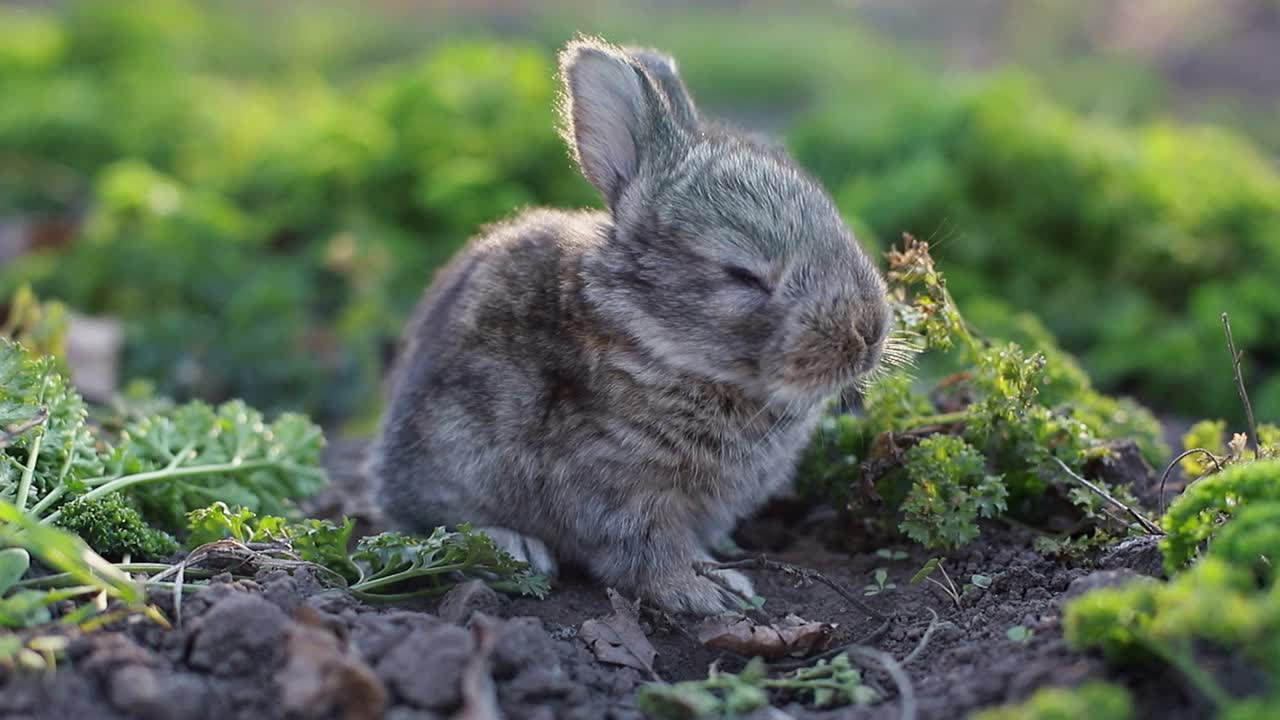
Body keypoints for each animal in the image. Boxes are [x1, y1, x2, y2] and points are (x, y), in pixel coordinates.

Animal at [366, 36, 896, 609]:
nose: (868, 333)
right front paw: (710, 590)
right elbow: (647, 547)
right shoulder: (616, 485)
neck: (651, 339)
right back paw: (513, 548)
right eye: (744, 275)